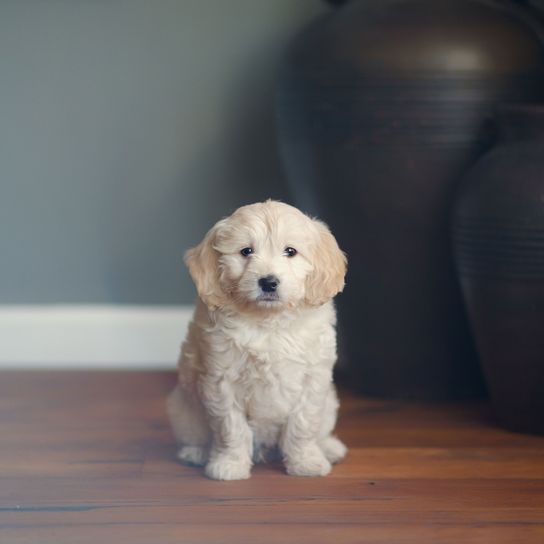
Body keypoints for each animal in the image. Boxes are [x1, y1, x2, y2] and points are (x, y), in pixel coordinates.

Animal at [166, 200, 346, 480]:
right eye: (246, 251)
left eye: (290, 251)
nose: (268, 282)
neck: (267, 322)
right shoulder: (221, 380)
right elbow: (231, 428)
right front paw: (229, 465)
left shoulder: (313, 377)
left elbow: (303, 424)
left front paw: (306, 462)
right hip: (183, 410)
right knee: (194, 435)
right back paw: (196, 452)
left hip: (329, 405)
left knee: (321, 429)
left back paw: (328, 448)